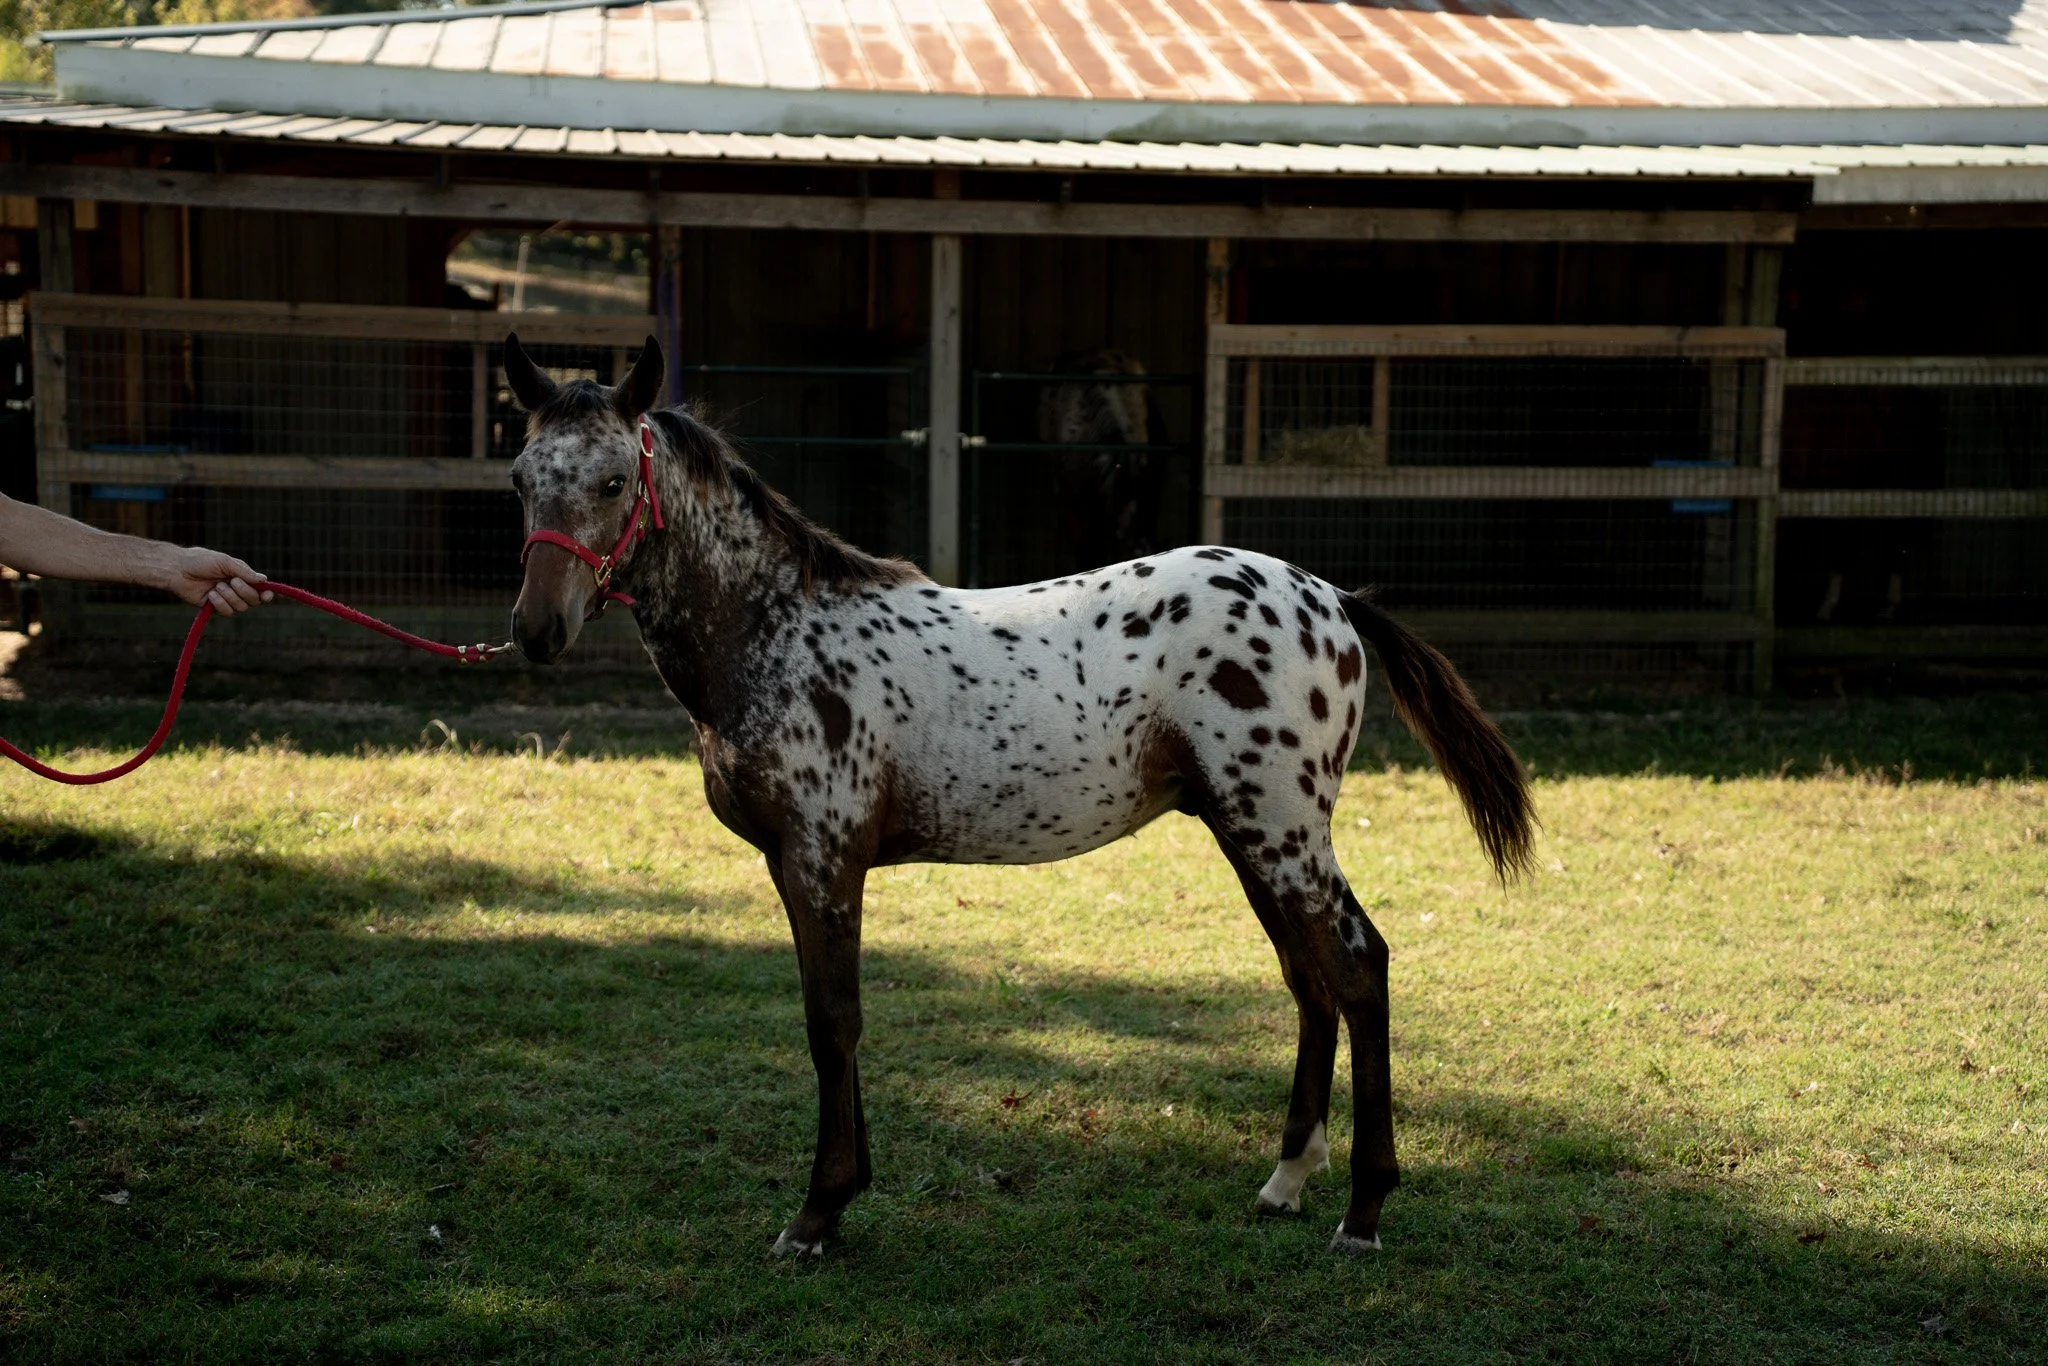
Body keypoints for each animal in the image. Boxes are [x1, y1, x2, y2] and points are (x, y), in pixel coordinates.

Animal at [504, 334, 1534, 1258]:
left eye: (611, 482)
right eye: (519, 479)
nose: (536, 630)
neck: (778, 633)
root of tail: (1333, 599)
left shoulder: (822, 858)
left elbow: (833, 1024)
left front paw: (817, 1214)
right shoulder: (797, 864)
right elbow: (834, 1021)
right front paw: (847, 1193)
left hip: (1281, 830)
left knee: (1358, 969)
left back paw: (1361, 1213)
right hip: (1247, 832)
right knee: (1308, 979)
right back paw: (1285, 1181)